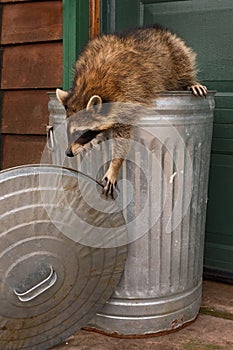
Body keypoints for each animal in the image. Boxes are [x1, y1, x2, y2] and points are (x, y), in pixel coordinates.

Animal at [56, 25, 208, 197]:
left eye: (81, 132)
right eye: (69, 131)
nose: (68, 153)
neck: (88, 86)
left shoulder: (127, 96)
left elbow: (123, 137)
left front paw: (115, 164)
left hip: (173, 49)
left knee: (183, 62)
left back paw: (190, 81)